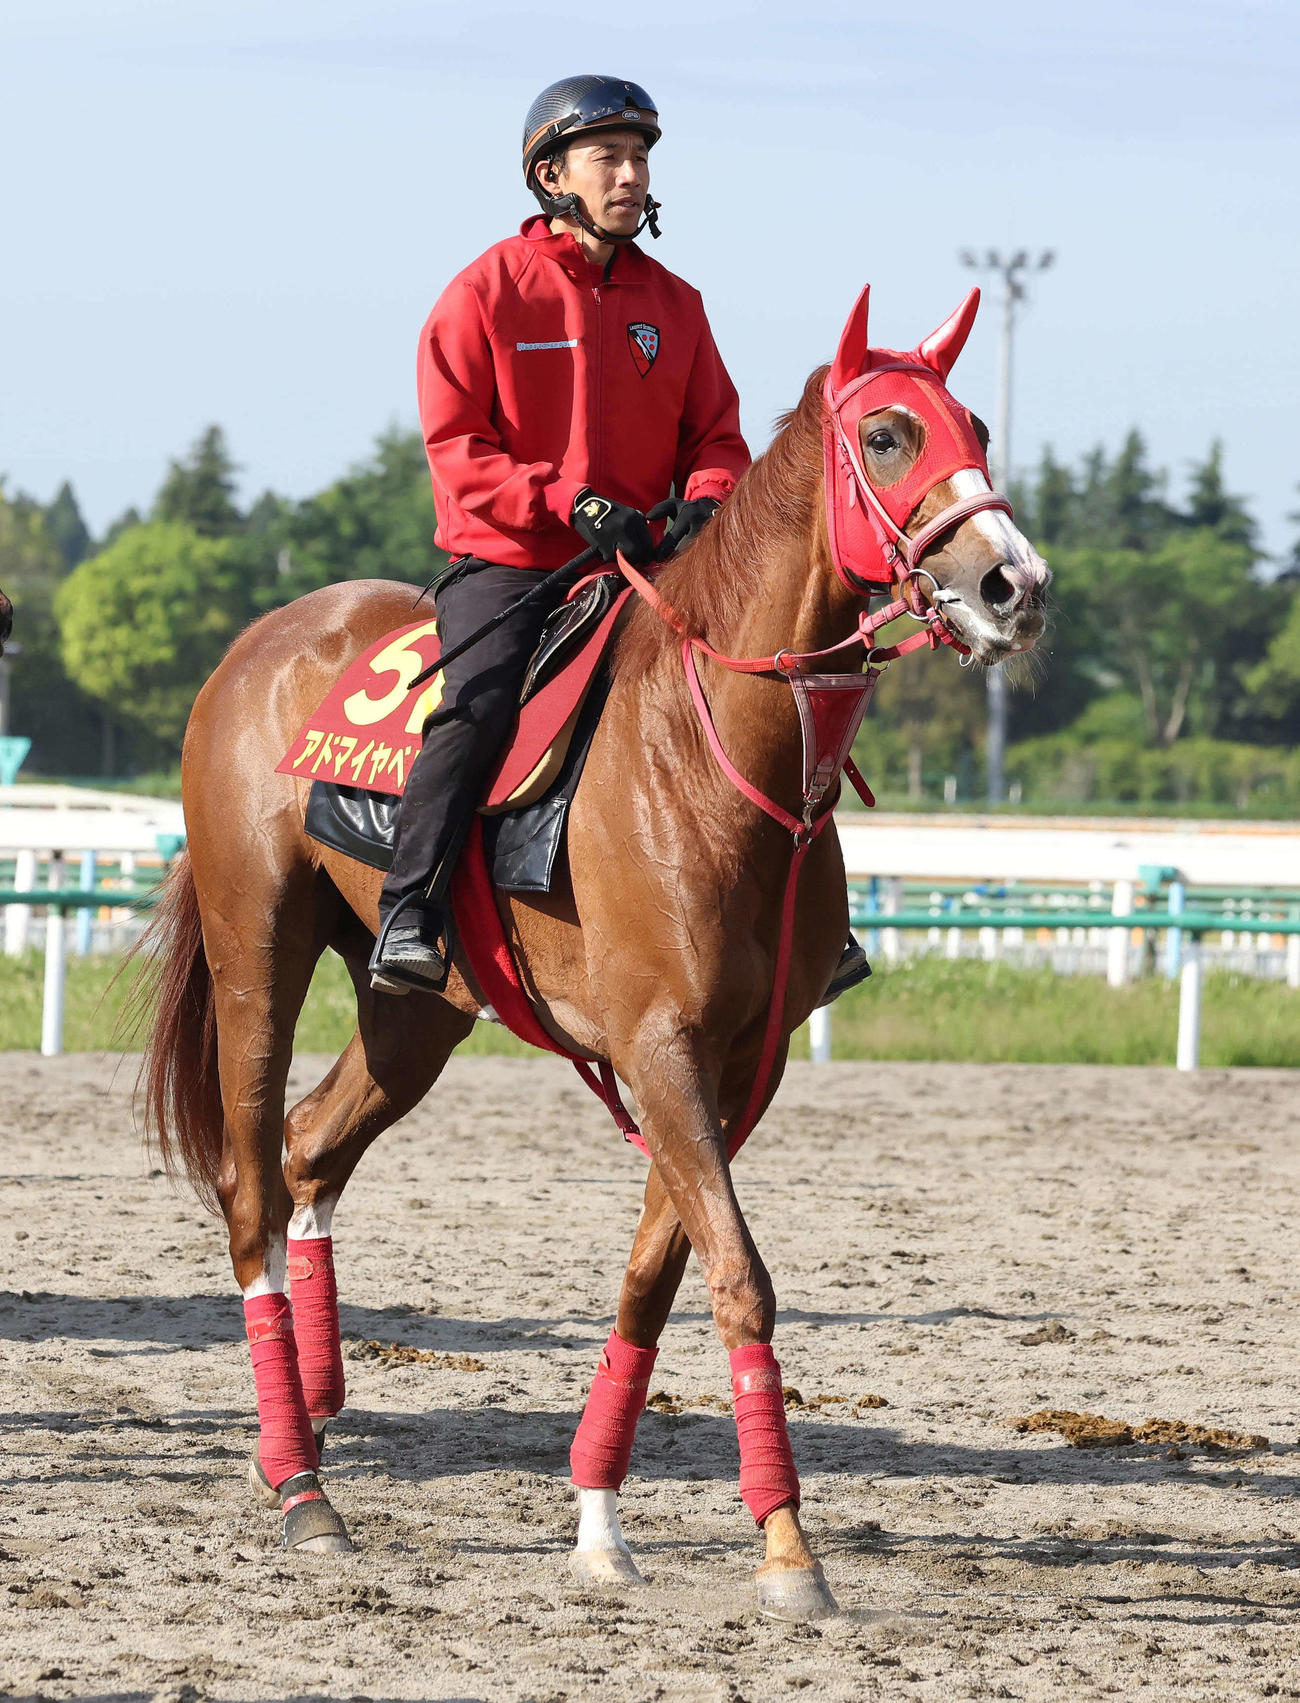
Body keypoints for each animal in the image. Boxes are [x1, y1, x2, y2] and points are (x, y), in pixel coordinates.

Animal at [135, 281, 1049, 1620]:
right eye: (886, 433)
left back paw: (307, 1409)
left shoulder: (731, 1063)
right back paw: (302, 1484)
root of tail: (259, 644)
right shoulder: (660, 1047)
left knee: (310, 1145)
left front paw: (600, 1517)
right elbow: (740, 1276)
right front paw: (787, 1547)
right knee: (253, 1182)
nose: (1011, 582)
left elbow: (653, 1279)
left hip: (415, 1010)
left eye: (977, 420)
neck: (712, 753)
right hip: (260, 944)